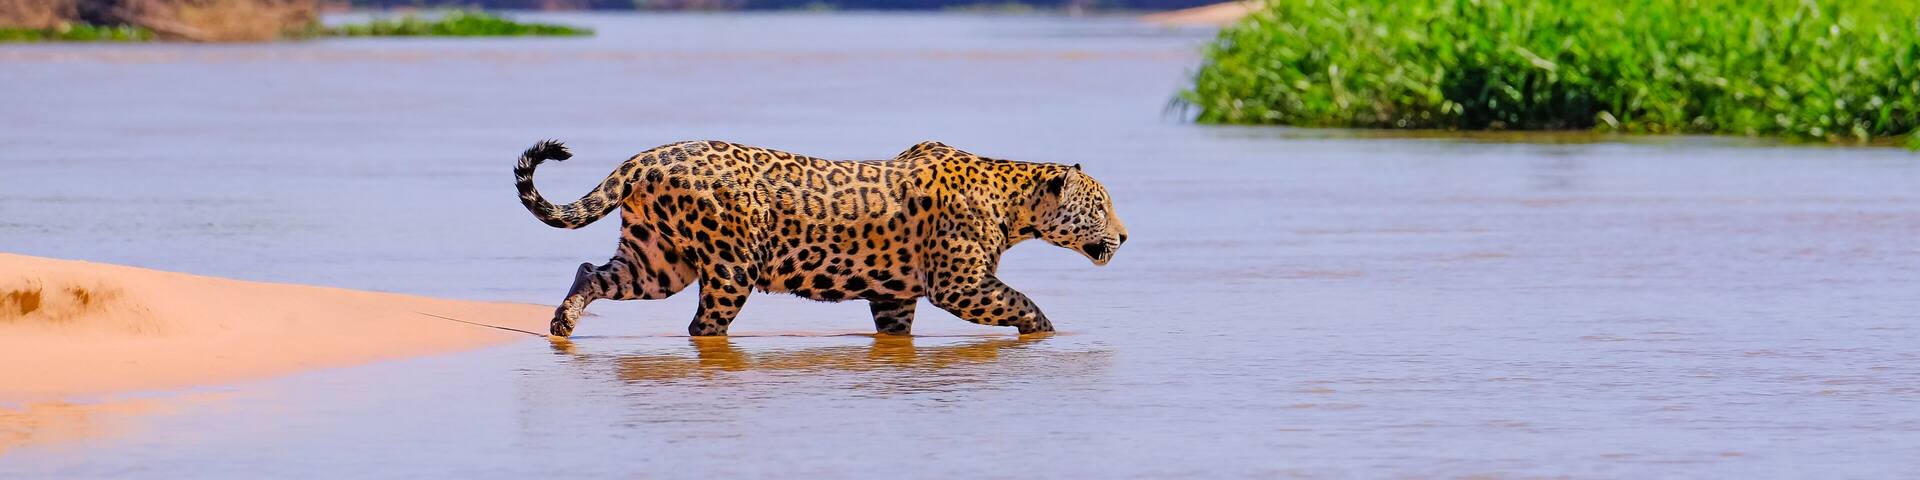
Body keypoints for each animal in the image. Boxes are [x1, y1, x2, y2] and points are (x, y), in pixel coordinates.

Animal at [513, 139, 1127, 337]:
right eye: (1100, 205)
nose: (1124, 236)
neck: (1014, 202)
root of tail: (646, 157)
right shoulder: (962, 284)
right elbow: (1021, 301)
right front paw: (1048, 334)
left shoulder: (894, 295)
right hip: (731, 268)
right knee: (702, 326)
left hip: (658, 260)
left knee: (594, 271)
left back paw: (563, 323)